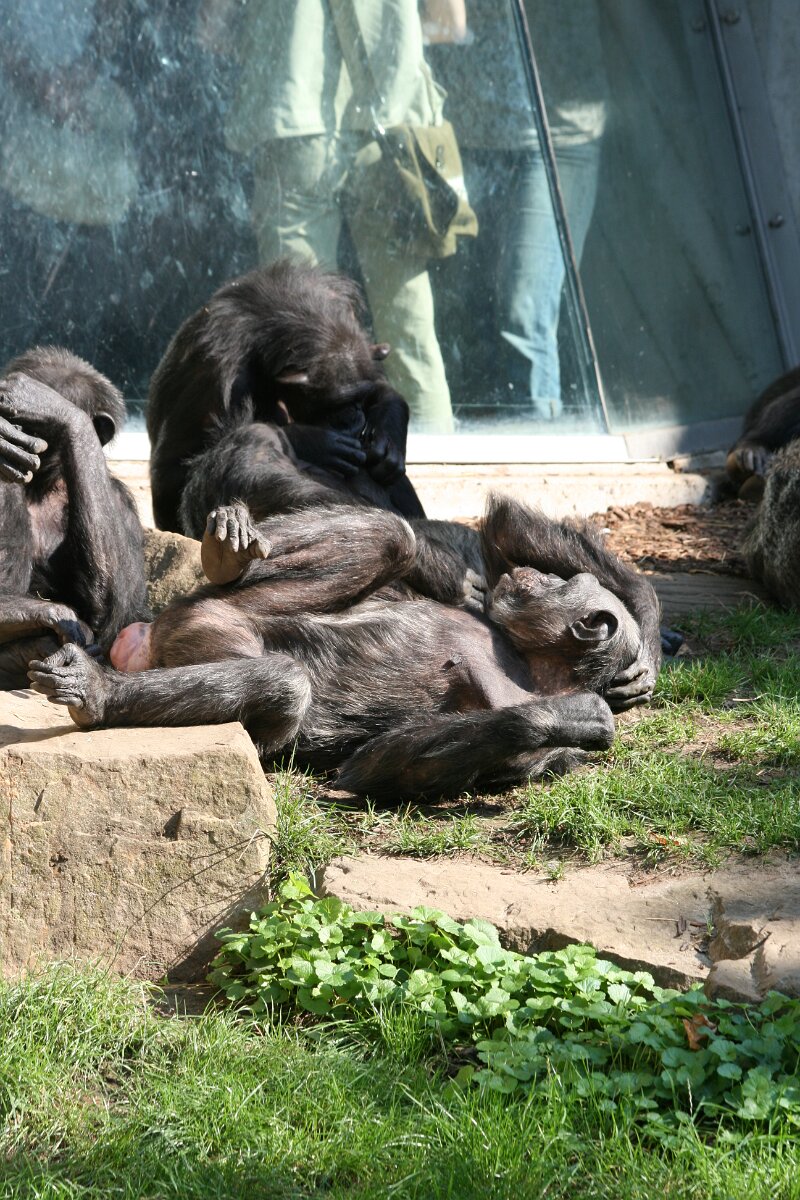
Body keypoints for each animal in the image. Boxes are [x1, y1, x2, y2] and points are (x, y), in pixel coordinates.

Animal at [0, 346, 148, 689]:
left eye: (33, 424)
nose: (8, 430)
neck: (43, 483)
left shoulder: (120, 504)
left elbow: (111, 610)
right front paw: (55, 616)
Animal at [28, 495, 660, 799]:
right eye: (557, 580)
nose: (533, 576)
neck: (529, 662)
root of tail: (149, 639)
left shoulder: (528, 745)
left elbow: (385, 764)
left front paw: (583, 714)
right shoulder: (485, 600)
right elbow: (481, 553)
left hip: (206, 630)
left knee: (285, 683)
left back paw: (99, 692)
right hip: (220, 605)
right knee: (391, 537)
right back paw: (227, 548)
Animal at [147, 259, 426, 538]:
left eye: (360, 397)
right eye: (339, 403)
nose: (355, 415)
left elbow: (381, 387)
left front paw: (388, 438)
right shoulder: (216, 366)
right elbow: (182, 464)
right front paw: (314, 441)